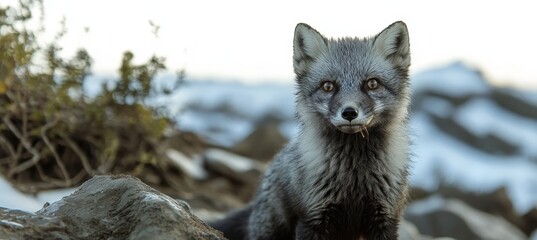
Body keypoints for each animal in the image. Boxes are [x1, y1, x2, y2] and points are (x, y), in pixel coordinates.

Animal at [209, 21, 410, 240]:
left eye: (372, 83)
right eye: (328, 86)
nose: (349, 113)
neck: (354, 176)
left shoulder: (385, 218)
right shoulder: (312, 217)